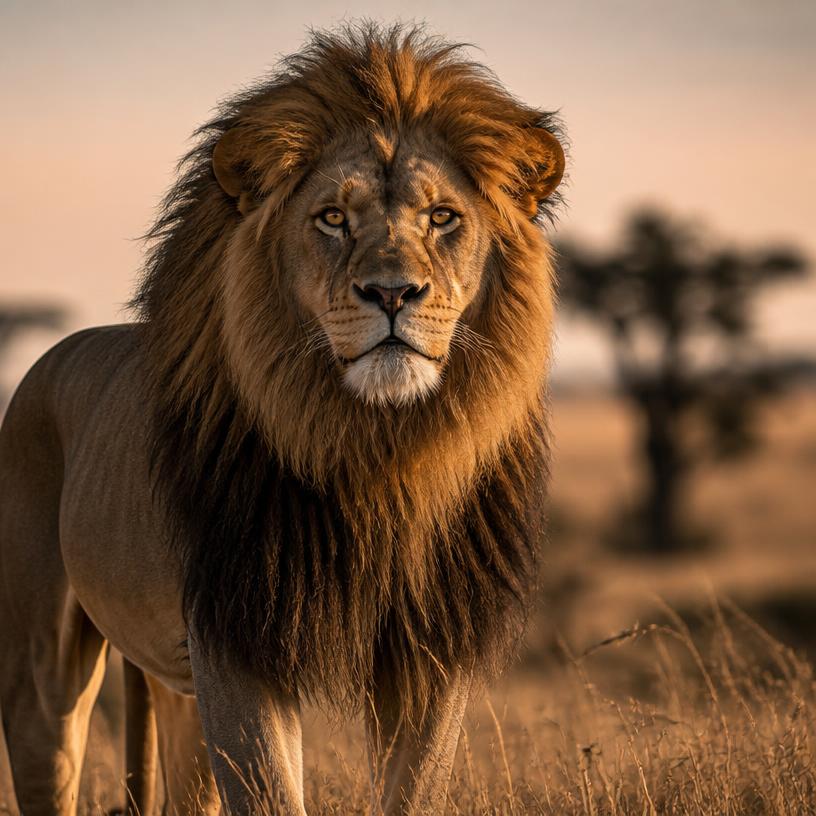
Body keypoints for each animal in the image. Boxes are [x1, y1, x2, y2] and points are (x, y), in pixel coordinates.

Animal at [0, 24, 564, 815]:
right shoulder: (235, 639)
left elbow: (415, 791)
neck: (379, 455)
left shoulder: (431, 650)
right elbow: (270, 792)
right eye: (332, 218)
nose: (393, 292)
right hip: (41, 664)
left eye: (442, 218)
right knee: (48, 745)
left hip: (176, 690)